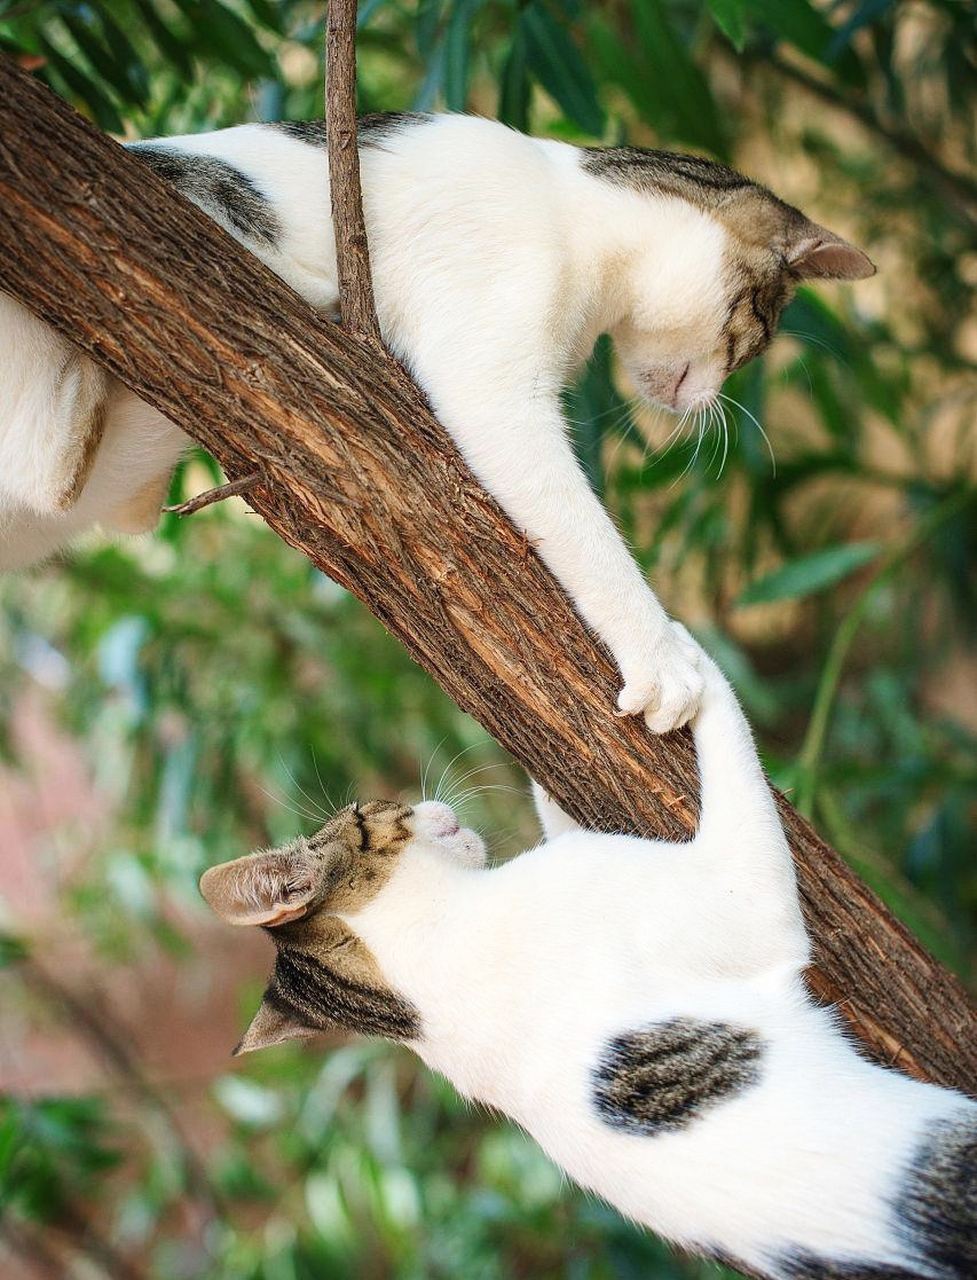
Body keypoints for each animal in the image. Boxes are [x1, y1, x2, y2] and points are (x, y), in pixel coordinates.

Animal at [0, 115, 870, 737]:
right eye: (757, 331)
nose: (712, 399)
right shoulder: (493, 379)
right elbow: (585, 532)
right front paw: (660, 654)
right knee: (48, 462)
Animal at [201, 629, 977, 1280]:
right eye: (367, 814)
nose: (428, 805)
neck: (418, 987)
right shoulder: (740, 895)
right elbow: (730, 743)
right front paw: (675, 649)